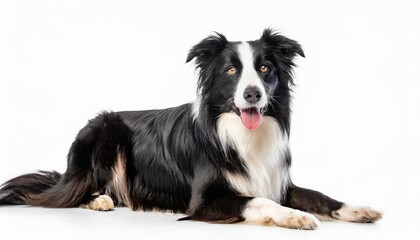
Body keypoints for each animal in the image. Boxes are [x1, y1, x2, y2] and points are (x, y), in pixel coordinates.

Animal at [0, 29, 380, 230]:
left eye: (265, 68)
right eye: (231, 71)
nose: (252, 93)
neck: (241, 134)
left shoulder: (278, 181)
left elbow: (319, 196)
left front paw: (356, 209)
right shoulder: (205, 200)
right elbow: (256, 200)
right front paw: (295, 217)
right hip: (104, 130)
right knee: (71, 194)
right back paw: (100, 200)